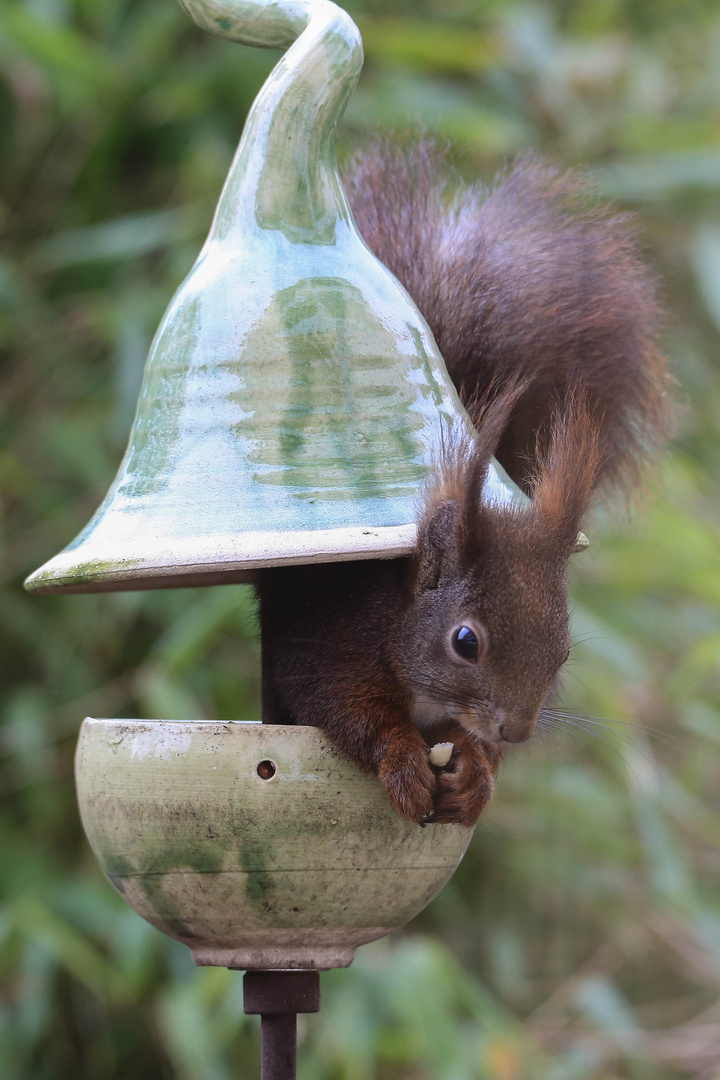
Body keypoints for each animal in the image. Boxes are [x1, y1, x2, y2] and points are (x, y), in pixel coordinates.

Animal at [255, 137, 673, 825]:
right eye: (465, 642)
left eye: (564, 651)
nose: (517, 730)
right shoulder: (333, 650)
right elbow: (350, 712)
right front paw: (402, 760)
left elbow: (466, 748)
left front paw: (476, 771)